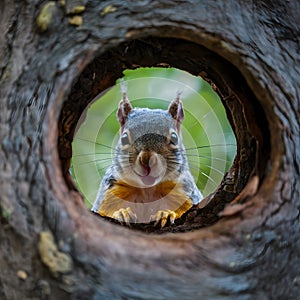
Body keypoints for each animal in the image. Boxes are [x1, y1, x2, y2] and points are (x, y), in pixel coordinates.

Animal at [91, 85, 204, 226]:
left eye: (174, 138)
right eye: (124, 138)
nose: (146, 160)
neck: (148, 190)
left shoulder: (184, 193)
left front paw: (165, 214)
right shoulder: (109, 193)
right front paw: (122, 213)